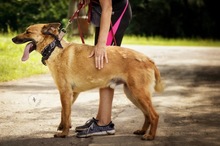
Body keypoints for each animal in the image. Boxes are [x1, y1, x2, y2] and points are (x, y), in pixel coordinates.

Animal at [11, 23, 163, 140]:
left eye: (27, 31)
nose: (12, 39)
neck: (54, 48)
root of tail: (148, 59)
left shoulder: (65, 92)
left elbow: (65, 113)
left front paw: (63, 133)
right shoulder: (71, 93)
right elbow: (64, 113)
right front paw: (64, 126)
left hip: (138, 93)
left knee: (154, 115)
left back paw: (150, 136)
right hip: (132, 94)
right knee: (147, 115)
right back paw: (142, 131)